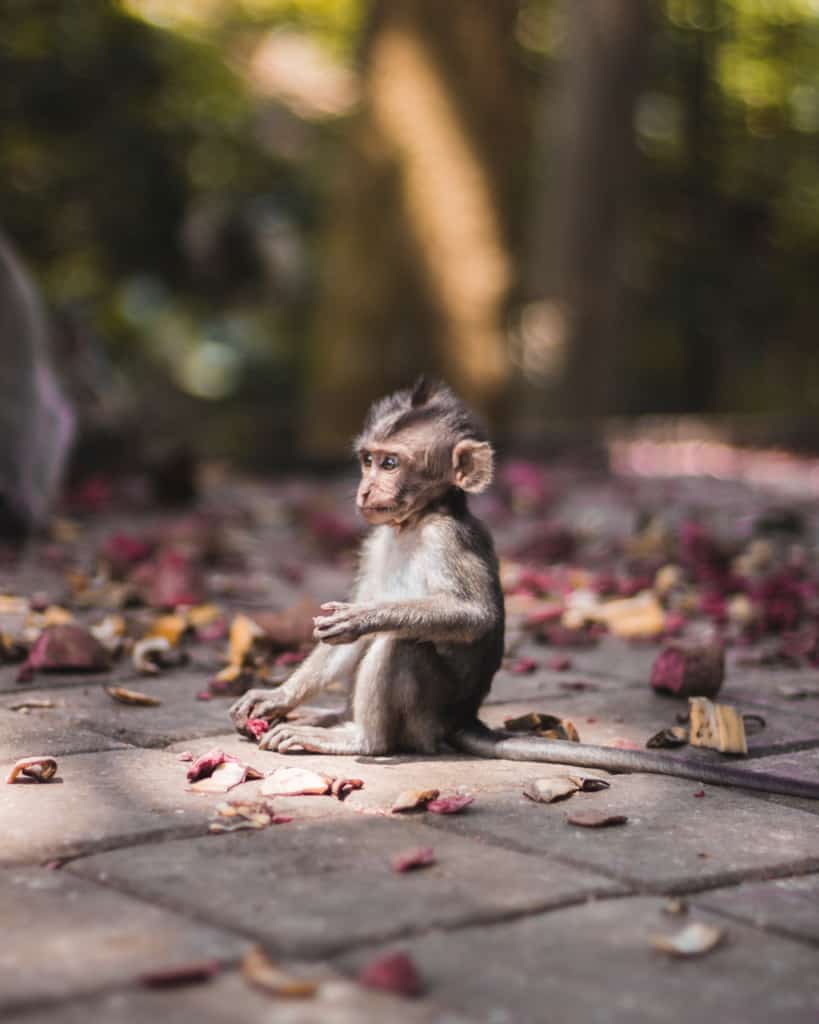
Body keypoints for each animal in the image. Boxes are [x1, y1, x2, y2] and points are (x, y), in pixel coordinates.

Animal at [230, 380, 819, 801]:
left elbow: (473, 617)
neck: (416, 521)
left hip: (428, 713)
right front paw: (277, 695)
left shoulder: (449, 539)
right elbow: (342, 639)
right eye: (367, 459)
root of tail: (463, 717)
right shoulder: (377, 539)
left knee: (401, 645)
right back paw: (327, 717)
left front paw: (364, 618)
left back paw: (357, 738)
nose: (365, 489)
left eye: (391, 462)